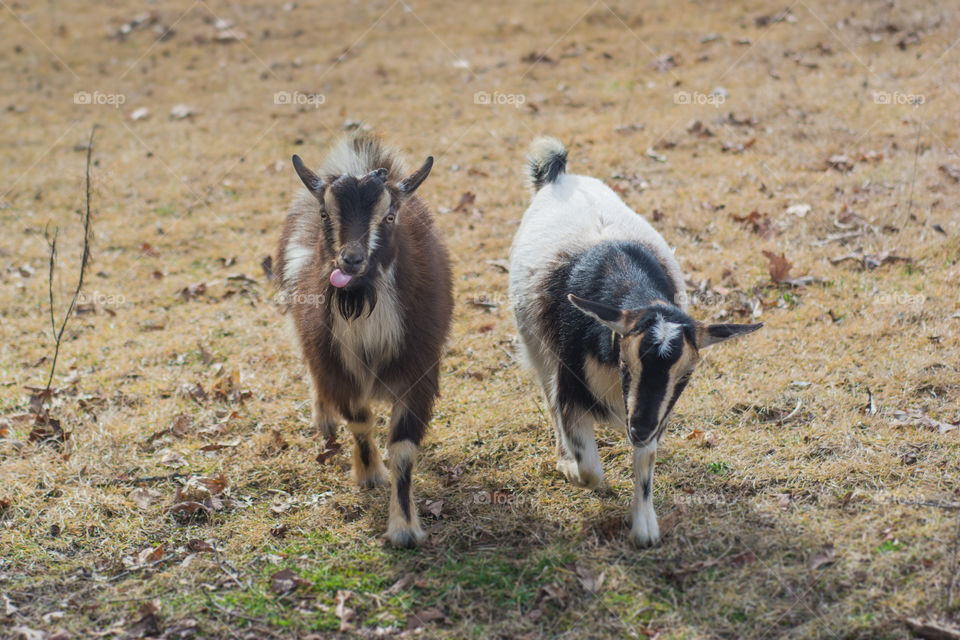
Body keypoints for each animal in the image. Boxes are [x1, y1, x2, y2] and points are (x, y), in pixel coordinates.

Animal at [274, 134, 454, 544]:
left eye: (389, 217)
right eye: (326, 214)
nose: (351, 260)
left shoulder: (419, 372)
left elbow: (402, 449)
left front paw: (404, 528)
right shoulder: (337, 366)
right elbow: (359, 421)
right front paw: (369, 475)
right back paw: (323, 418)